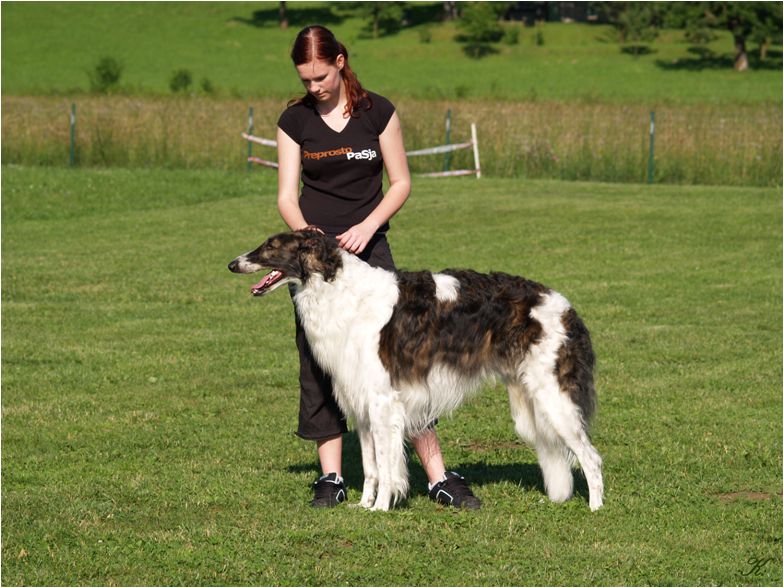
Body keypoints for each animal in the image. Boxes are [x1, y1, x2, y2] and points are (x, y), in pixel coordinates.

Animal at [228, 230, 608, 510]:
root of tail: (565, 307)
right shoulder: (363, 405)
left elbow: (386, 465)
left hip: (554, 398)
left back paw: (595, 507)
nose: (232, 263)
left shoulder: (383, 402)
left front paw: (381, 508)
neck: (340, 289)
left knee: (591, 457)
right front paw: (364, 506)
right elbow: (370, 466)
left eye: (271, 246)